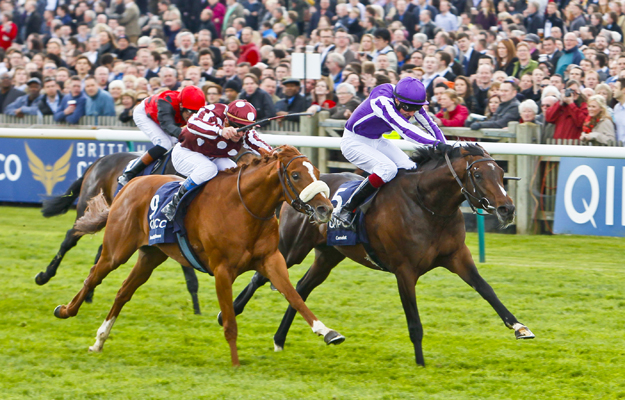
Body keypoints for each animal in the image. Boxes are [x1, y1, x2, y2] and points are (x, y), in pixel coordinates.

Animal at [36, 152, 201, 314]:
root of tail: (99, 160)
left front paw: (196, 307)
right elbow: (189, 272)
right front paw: (196, 306)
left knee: (100, 252)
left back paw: (88, 294)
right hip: (89, 207)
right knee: (70, 238)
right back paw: (44, 276)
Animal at [54, 145, 346, 368]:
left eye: (317, 173)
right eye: (295, 175)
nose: (325, 209)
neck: (245, 208)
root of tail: (131, 183)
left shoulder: (271, 260)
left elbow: (295, 296)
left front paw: (328, 332)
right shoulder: (222, 271)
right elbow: (229, 321)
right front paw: (235, 363)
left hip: (151, 255)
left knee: (123, 292)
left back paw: (99, 340)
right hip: (117, 248)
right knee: (93, 276)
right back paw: (66, 310)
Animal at [223, 144, 532, 366]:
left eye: (500, 174)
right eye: (478, 175)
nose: (507, 209)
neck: (428, 205)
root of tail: (304, 187)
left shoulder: (457, 257)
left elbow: (487, 290)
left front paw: (520, 327)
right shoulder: (404, 270)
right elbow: (414, 321)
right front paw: (420, 364)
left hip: (329, 256)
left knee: (300, 287)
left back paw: (281, 338)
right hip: (291, 248)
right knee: (262, 277)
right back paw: (230, 312)